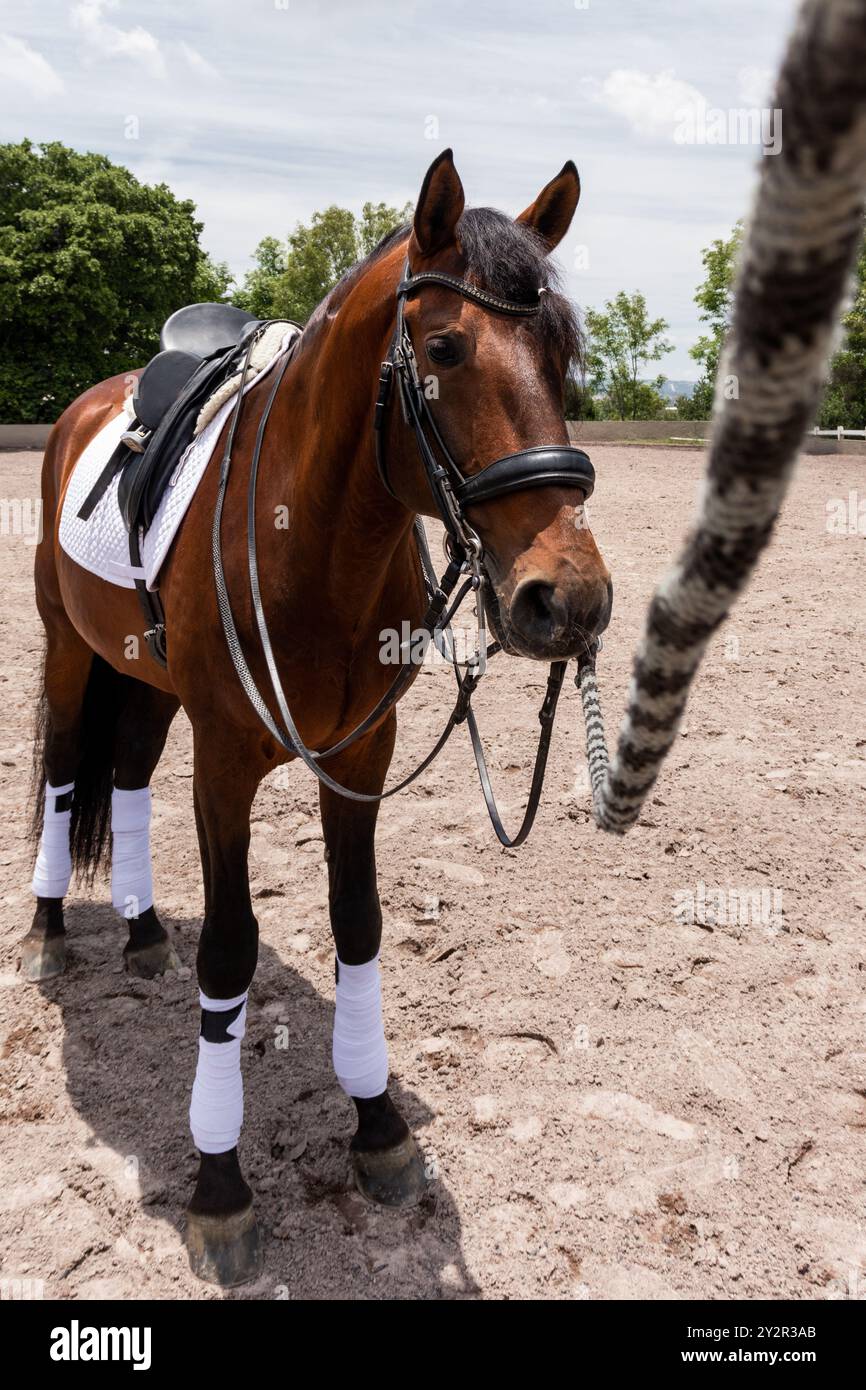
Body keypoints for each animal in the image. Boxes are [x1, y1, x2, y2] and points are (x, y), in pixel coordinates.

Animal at [24, 149, 611, 1285]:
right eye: (443, 349)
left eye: (562, 355)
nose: (569, 598)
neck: (314, 537)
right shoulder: (224, 758)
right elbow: (230, 952)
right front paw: (219, 1187)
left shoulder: (363, 751)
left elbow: (358, 921)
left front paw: (377, 1124)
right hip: (72, 649)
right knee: (70, 771)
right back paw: (48, 934)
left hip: (145, 680)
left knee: (125, 778)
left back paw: (141, 931)